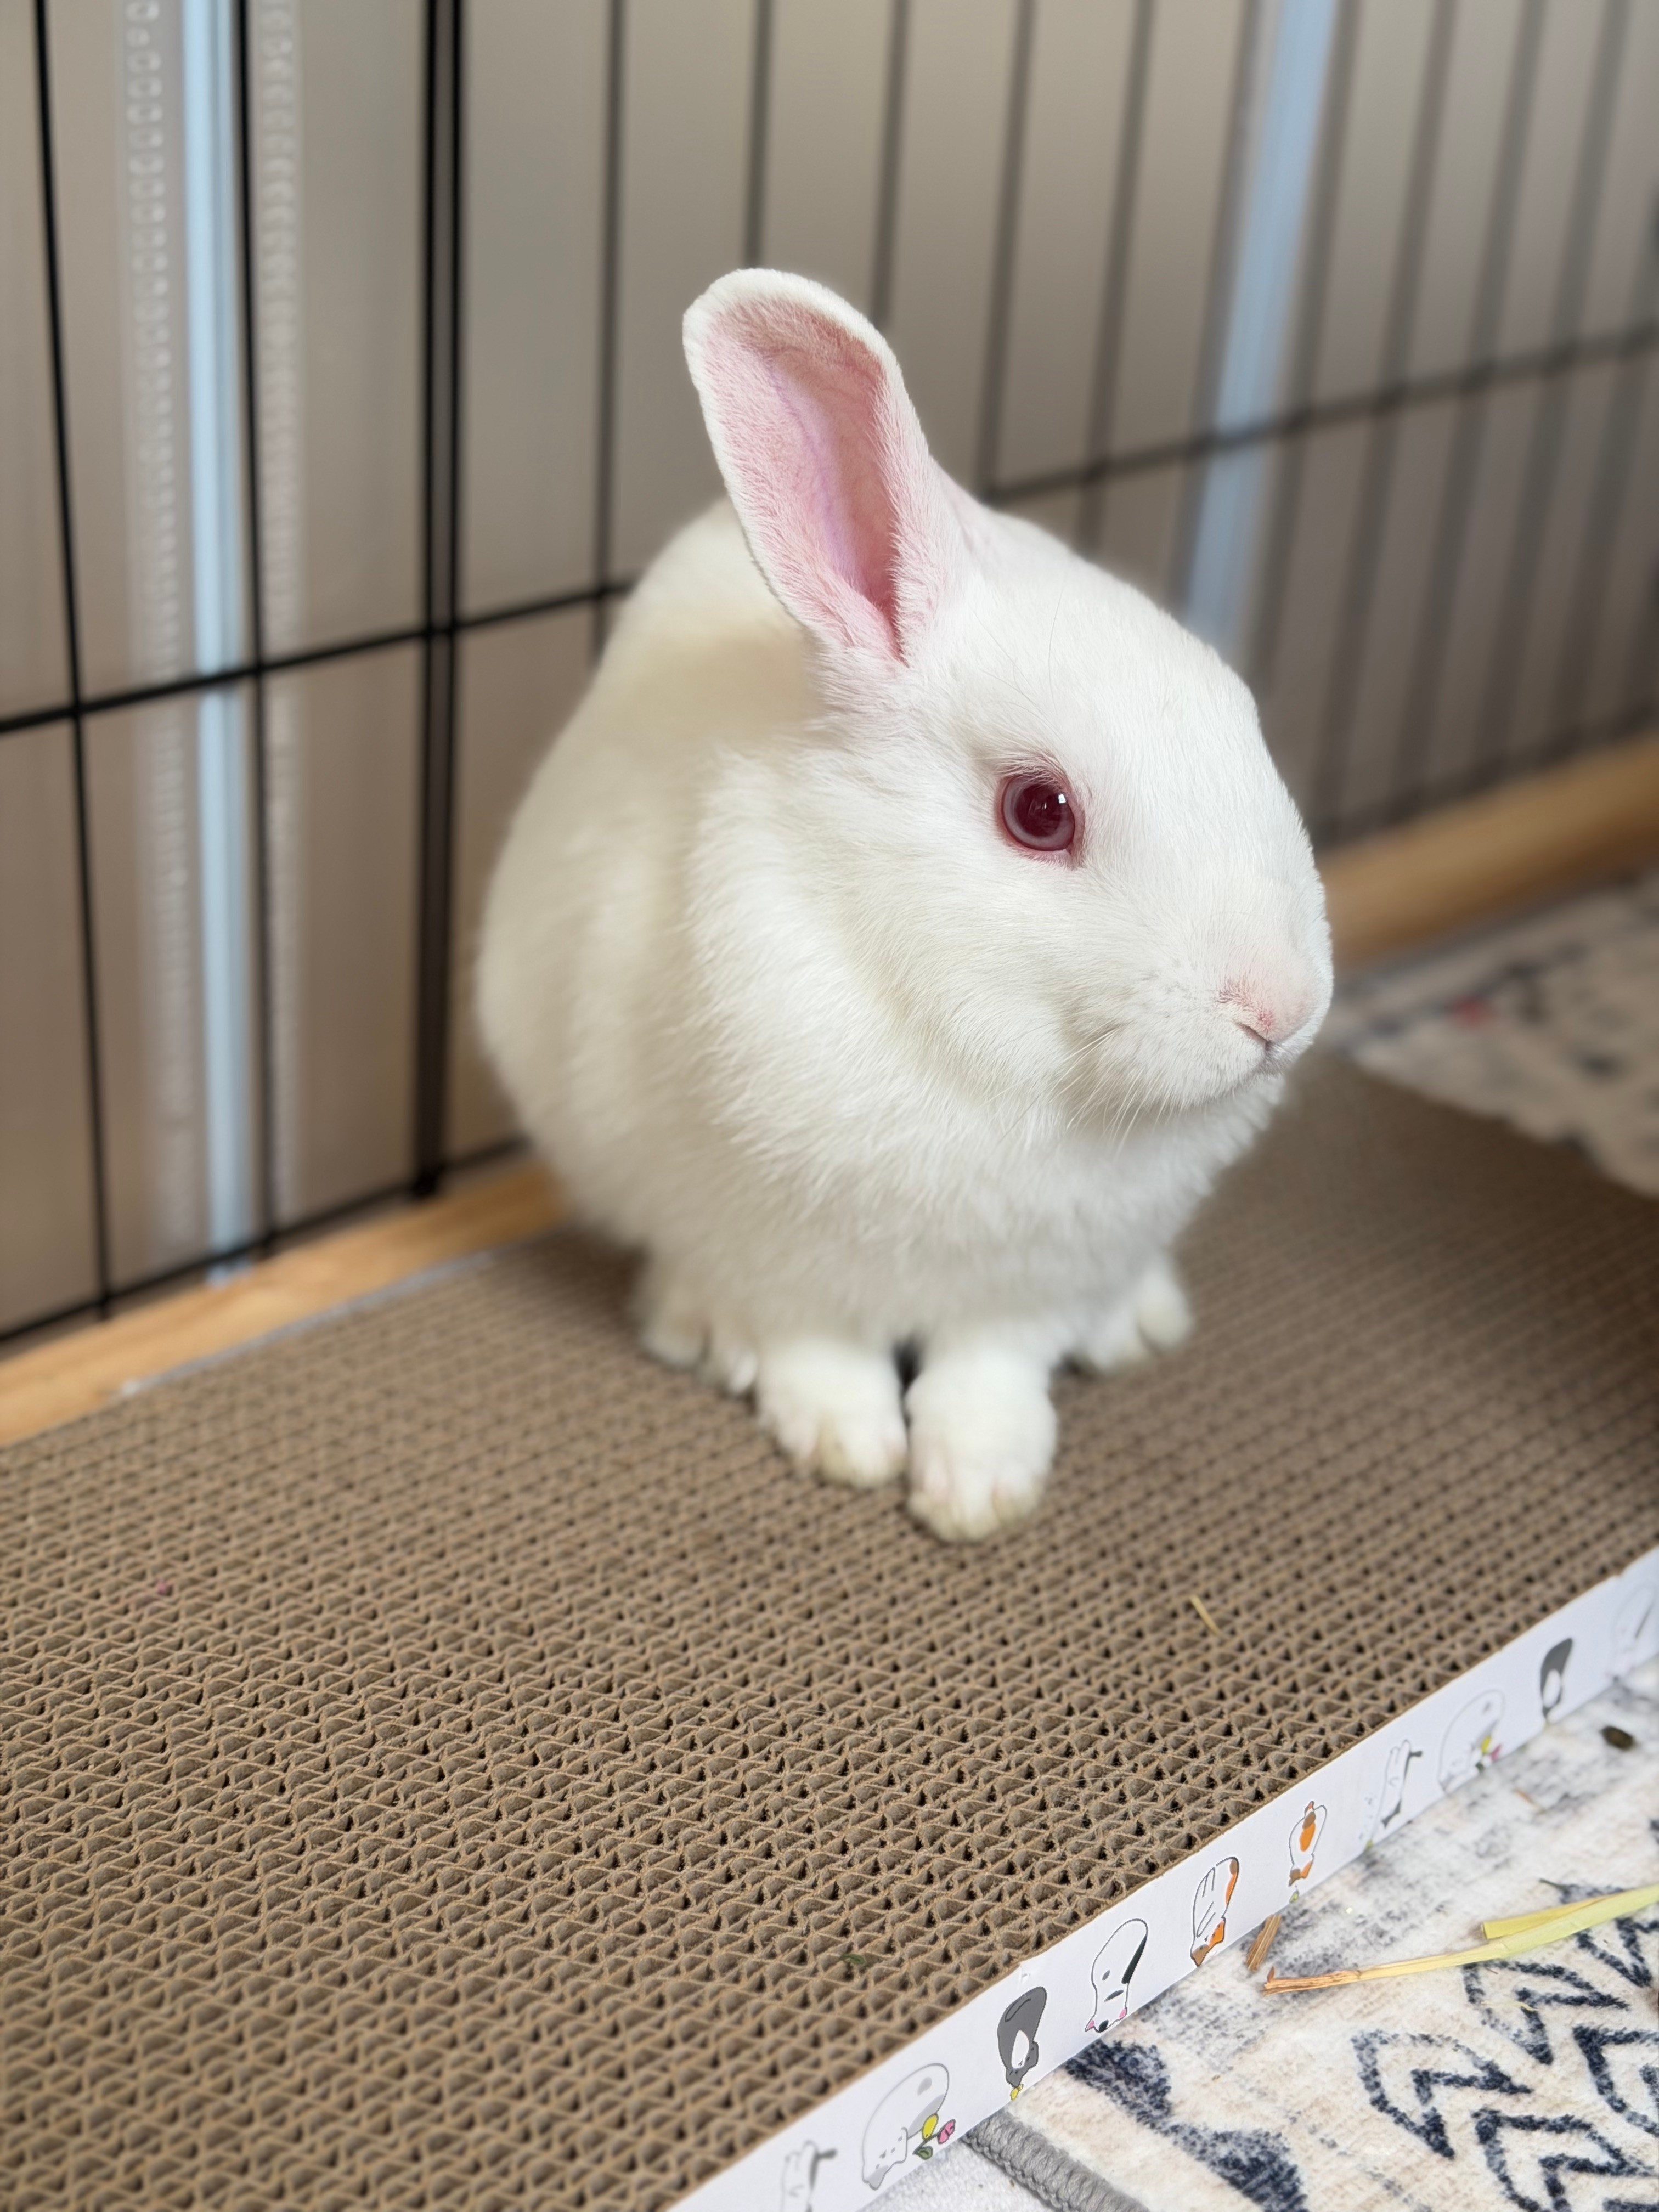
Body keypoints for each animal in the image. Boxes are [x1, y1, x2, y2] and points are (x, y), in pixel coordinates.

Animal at [477, 269, 1332, 1542]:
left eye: (1245, 721)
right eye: (1039, 810)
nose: (1277, 1009)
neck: (980, 1047)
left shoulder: (1029, 1287)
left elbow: (992, 1376)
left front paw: (978, 1488)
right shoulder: (772, 1253)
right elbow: (813, 1351)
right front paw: (846, 1442)